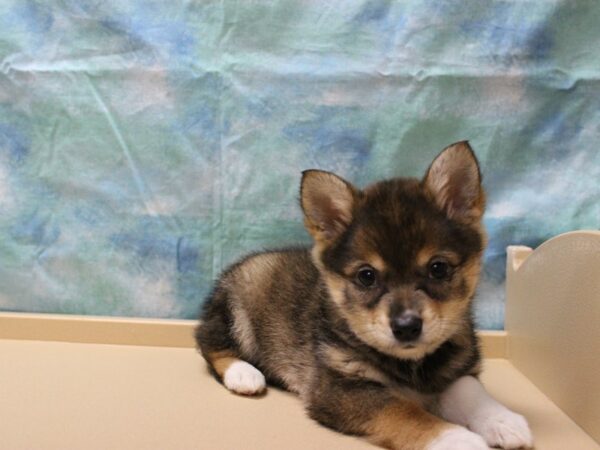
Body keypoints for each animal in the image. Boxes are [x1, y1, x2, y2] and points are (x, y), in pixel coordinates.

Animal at [195, 142, 532, 450]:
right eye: (366, 276)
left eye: (438, 268)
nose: (406, 327)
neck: (412, 367)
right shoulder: (342, 388)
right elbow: (406, 413)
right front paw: (459, 440)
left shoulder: (455, 371)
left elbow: (470, 390)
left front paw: (503, 420)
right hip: (235, 314)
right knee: (210, 343)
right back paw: (244, 375)